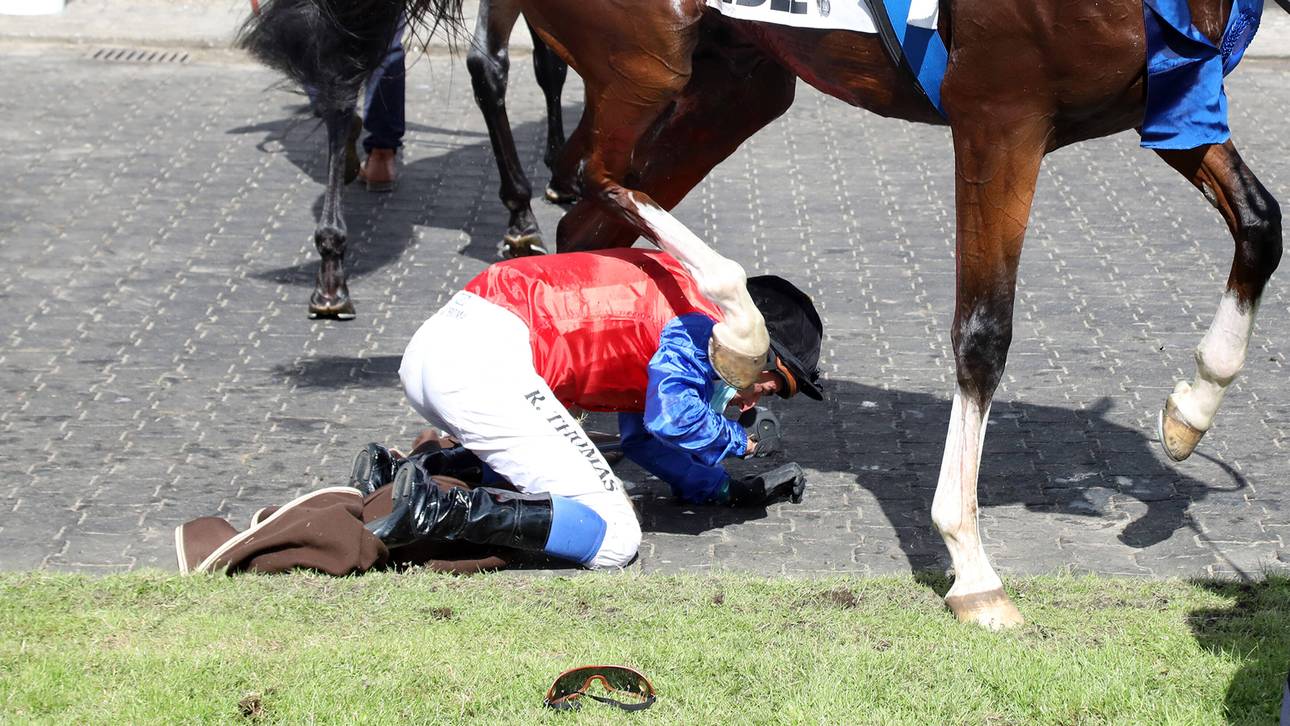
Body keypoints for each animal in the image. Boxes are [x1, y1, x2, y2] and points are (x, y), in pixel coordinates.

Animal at [389, 0, 1281, 629]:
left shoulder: (1167, 97)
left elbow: (1261, 224)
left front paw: (1191, 410)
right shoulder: (1000, 116)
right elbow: (983, 331)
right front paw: (970, 563)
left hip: (736, 79)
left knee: (590, 219)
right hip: (645, 62)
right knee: (598, 179)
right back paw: (731, 327)